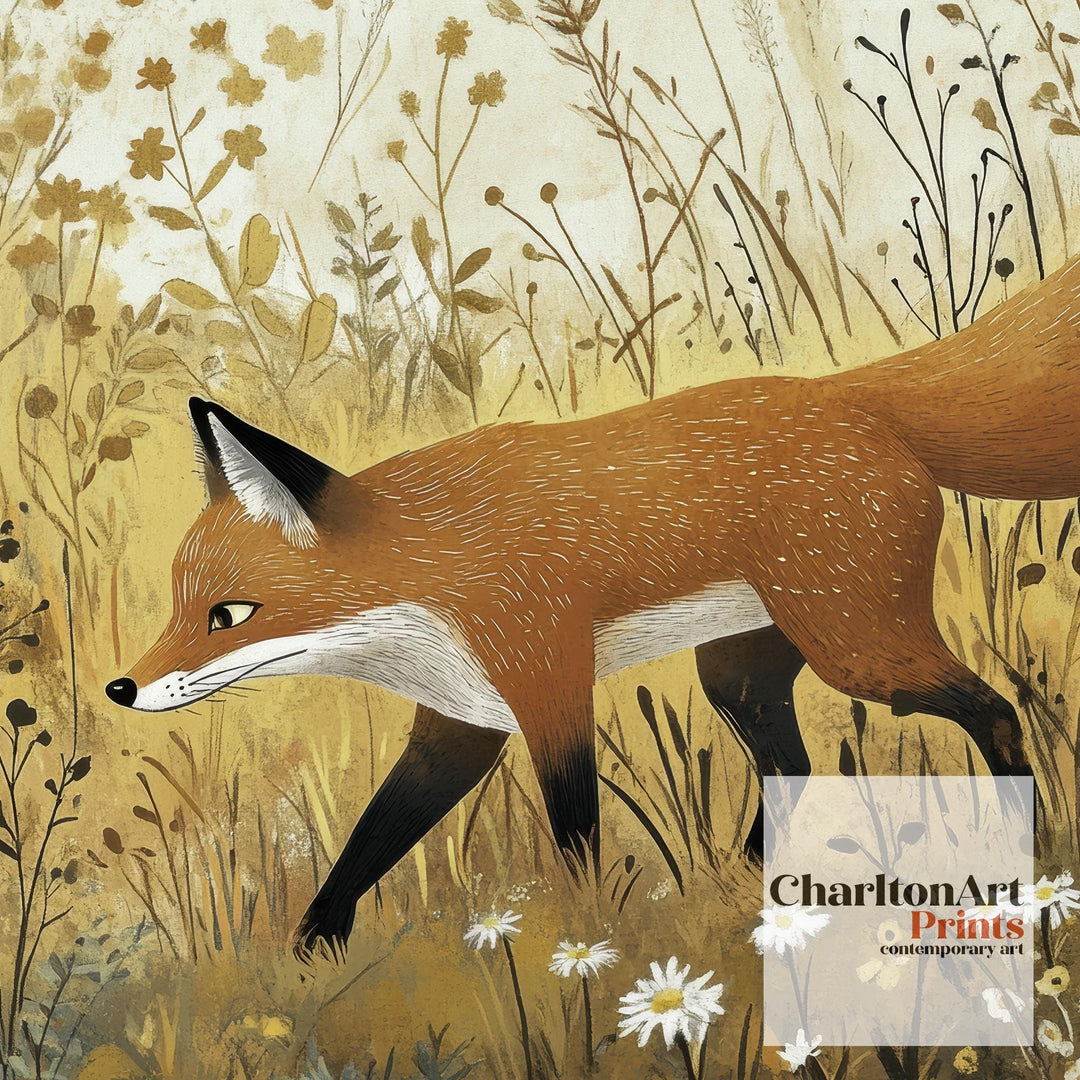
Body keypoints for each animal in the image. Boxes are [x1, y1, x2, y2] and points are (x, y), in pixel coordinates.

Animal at [105, 252, 1080, 961]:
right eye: (176, 605)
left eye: (228, 615)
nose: (120, 689)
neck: (427, 572)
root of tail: (850, 391)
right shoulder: (460, 723)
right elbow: (367, 843)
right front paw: (311, 954)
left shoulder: (548, 689)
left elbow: (574, 838)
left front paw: (585, 941)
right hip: (741, 673)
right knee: (795, 769)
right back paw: (742, 890)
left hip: (859, 651)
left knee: (997, 710)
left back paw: (1018, 856)